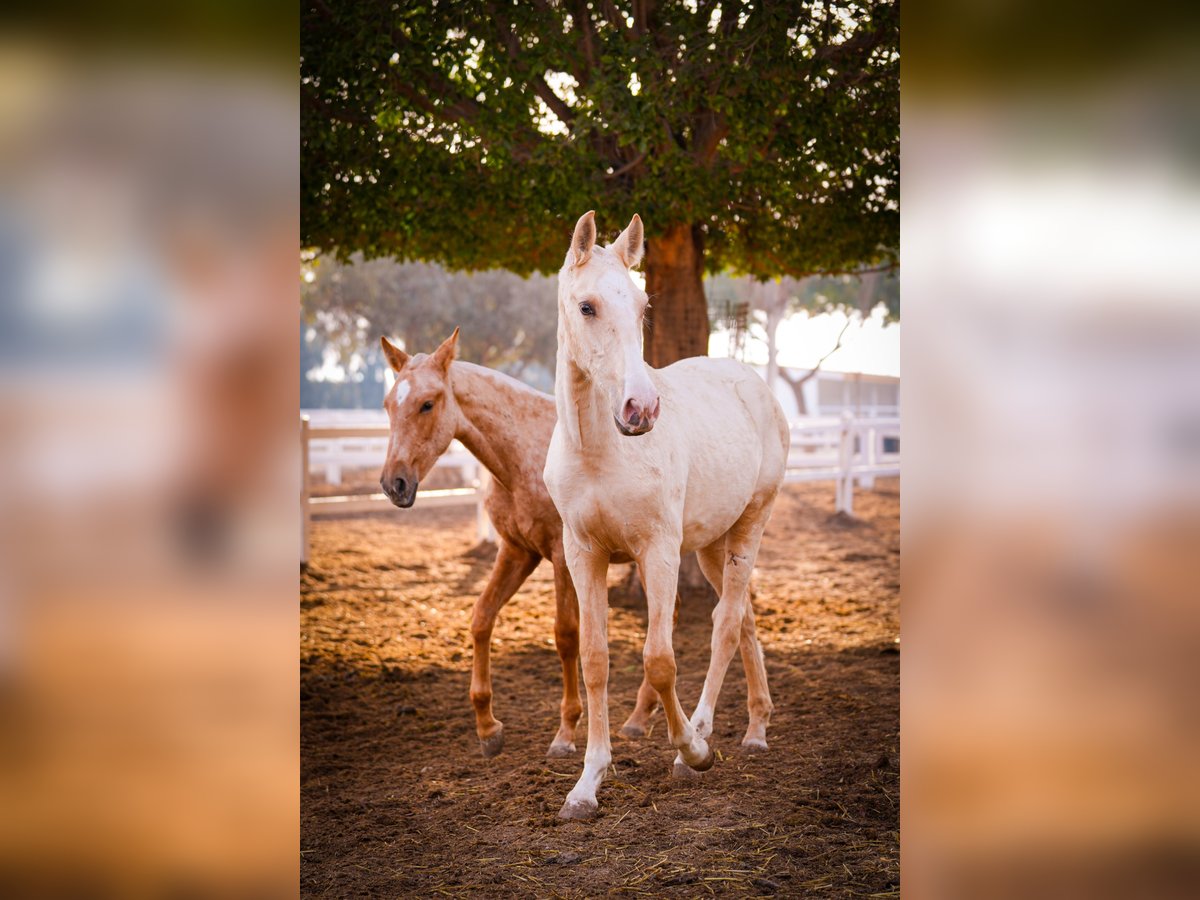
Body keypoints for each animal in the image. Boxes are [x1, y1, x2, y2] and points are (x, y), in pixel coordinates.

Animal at [376, 331, 667, 763]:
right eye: (388, 404)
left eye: (428, 403)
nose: (394, 484)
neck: (522, 456)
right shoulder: (516, 551)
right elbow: (481, 618)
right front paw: (487, 726)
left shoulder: (562, 558)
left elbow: (566, 636)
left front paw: (566, 732)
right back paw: (639, 717)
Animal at [544, 213, 787, 825]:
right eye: (587, 306)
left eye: (642, 305)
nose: (641, 409)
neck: (599, 450)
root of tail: (753, 384)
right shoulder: (583, 553)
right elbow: (596, 660)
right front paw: (586, 785)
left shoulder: (656, 551)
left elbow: (659, 660)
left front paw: (693, 752)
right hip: (711, 544)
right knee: (744, 618)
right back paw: (756, 729)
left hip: (749, 525)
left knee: (725, 624)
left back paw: (701, 737)